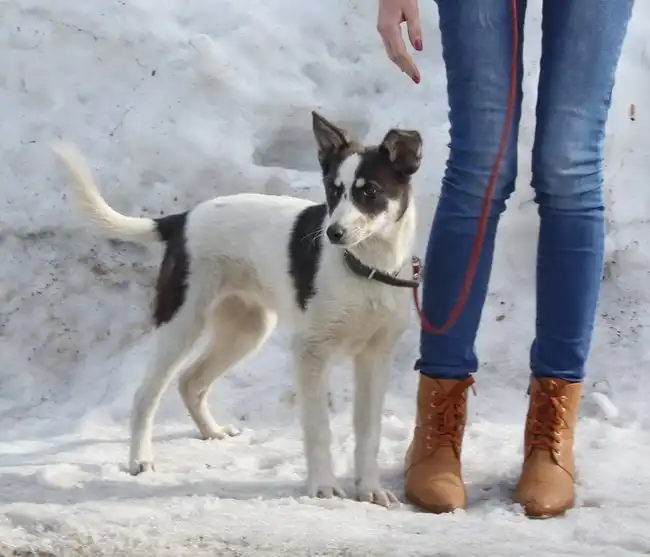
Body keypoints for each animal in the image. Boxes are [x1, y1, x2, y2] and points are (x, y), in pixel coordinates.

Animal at [52, 111, 423, 507]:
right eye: (334, 190)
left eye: (370, 192)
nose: (333, 233)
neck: (366, 270)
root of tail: (183, 220)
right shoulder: (311, 352)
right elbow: (318, 428)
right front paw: (322, 486)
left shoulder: (374, 358)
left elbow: (369, 431)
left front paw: (369, 489)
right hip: (182, 324)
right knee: (146, 395)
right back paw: (140, 459)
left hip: (247, 330)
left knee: (191, 381)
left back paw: (211, 432)